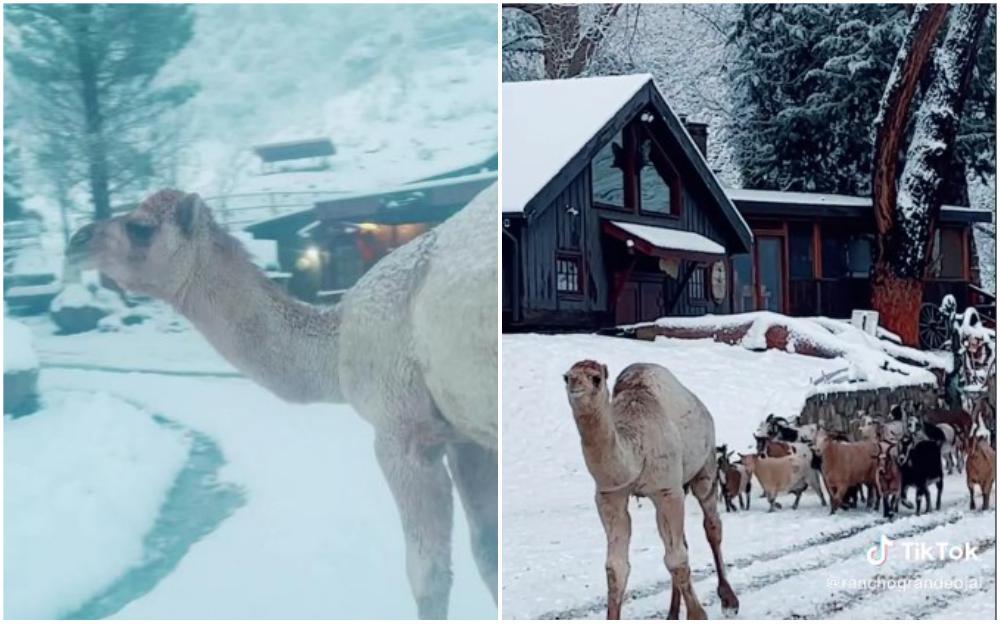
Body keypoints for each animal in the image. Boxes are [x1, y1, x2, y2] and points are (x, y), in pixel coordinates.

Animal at [65, 188, 496, 616]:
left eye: (141, 227)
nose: (75, 241)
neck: (336, 343)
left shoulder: (402, 434)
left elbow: (427, 575)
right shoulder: (464, 436)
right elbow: (487, 550)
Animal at [568, 358, 740, 620]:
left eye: (596, 378)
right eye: (566, 377)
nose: (575, 385)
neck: (636, 450)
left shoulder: (667, 490)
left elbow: (677, 559)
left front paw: (698, 614)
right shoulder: (610, 496)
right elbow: (616, 568)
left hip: (705, 465)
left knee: (711, 526)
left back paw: (729, 600)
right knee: (680, 542)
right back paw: (672, 613)